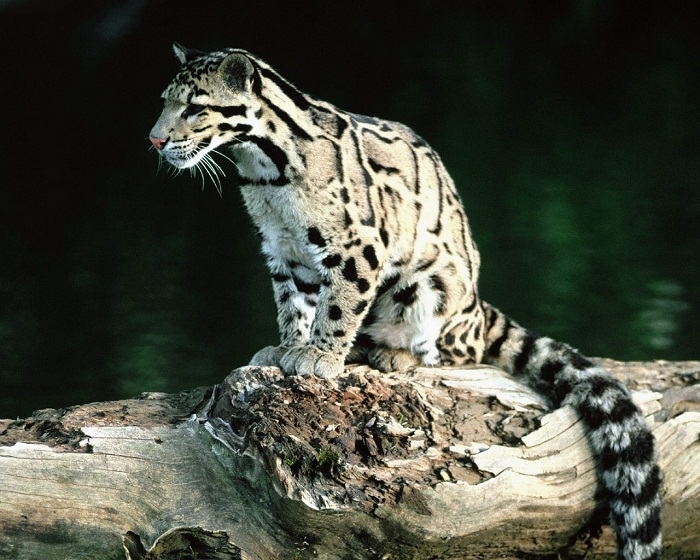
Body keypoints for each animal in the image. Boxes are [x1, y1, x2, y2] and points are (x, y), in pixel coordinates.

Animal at [148, 44, 660, 560]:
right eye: (165, 101)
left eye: (194, 108)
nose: (154, 140)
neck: (265, 173)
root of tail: (479, 310)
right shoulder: (282, 249)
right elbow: (293, 304)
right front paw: (287, 347)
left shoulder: (358, 245)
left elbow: (338, 306)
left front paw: (318, 356)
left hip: (428, 289)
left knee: (451, 353)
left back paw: (393, 354)